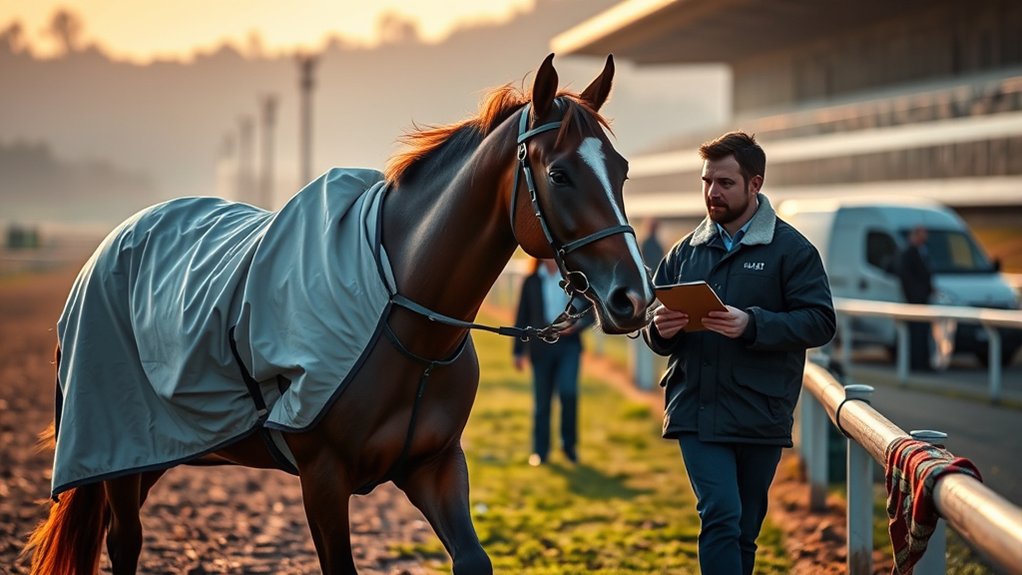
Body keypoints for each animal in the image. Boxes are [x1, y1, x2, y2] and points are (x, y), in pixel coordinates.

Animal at [23, 53, 655, 574]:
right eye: (559, 174)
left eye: (622, 170)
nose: (633, 297)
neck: (401, 315)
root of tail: (111, 244)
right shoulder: (323, 479)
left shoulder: (435, 464)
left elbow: (474, 559)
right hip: (117, 450)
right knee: (125, 540)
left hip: (156, 448)